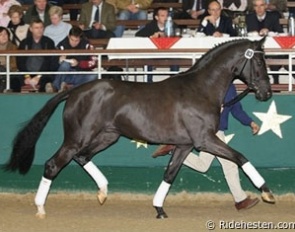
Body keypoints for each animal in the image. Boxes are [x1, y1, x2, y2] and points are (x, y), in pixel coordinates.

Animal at [5, 37, 272, 218]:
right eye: (260, 61)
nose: (266, 93)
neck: (200, 89)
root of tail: (76, 91)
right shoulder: (204, 140)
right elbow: (240, 157)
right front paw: (266, 192)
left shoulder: (185, 145)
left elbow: (170, 174)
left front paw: (159, 209)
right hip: (77, 137)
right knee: (53, 164)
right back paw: (41, 208)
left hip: (107, 136)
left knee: (82, 157)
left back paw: (103, 191)